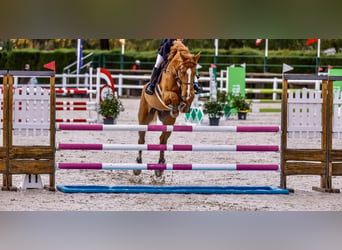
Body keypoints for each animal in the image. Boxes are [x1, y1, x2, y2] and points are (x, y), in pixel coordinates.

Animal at [136, 41, 200, 177]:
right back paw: (137, 166)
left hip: (168, 122)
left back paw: (160, 167)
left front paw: (184, 105)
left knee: (162, 139)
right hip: (144, 118)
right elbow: (174, 96)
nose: (186, 94)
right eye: (182, 71)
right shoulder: (165, 95)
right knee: (141, 138)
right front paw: (177, 107)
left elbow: (191, 96)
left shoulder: (189, 92)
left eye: (194, 72)